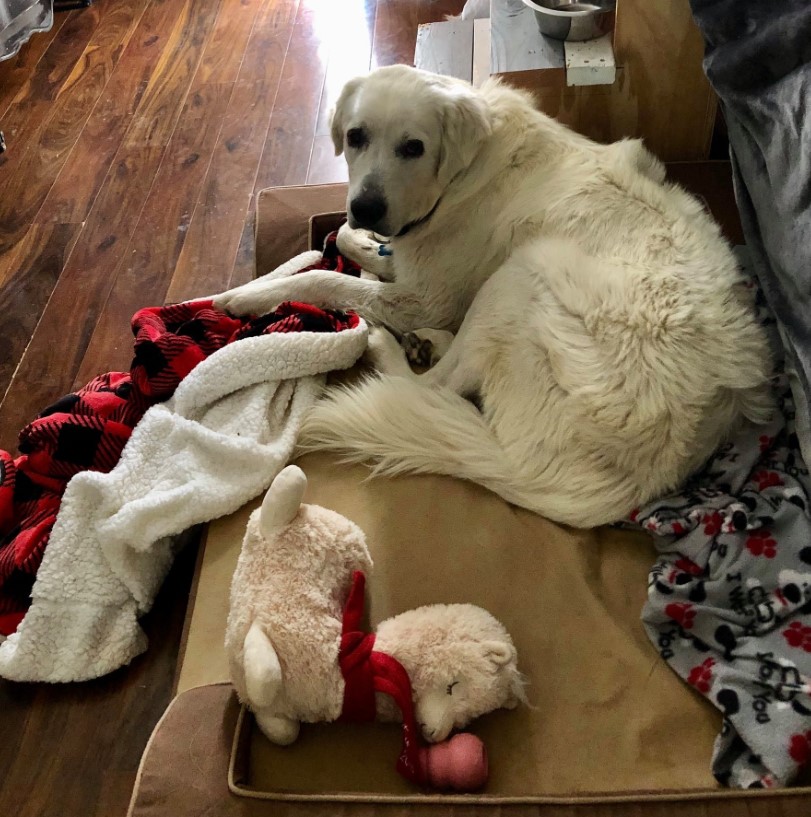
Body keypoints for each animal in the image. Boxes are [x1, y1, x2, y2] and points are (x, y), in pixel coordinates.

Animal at [216, 62, 772, 524]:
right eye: (356, 137)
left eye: (413, 147)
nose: (367, 206)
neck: (460, 176)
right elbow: (353, 244)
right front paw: (356, 249)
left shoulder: (427, 296)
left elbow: (326, 278)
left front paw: (247, 297)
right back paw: (425, 340)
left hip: (522, 273)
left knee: (432, 386)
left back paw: (387, 343)